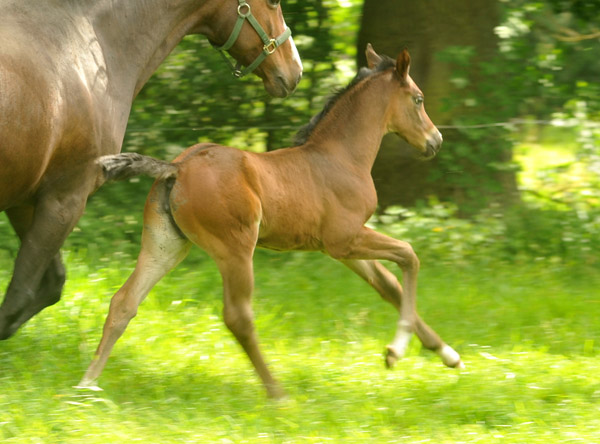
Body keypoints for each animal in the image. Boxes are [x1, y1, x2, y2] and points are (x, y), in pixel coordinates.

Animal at [0, 0, 300, 340]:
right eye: (274, 2)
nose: (295, 69)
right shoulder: (66, 198)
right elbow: (21, 296)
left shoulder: (27, 201)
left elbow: (47, 286)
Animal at [79, 45, 464, 398]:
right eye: (418, 99)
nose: (436, 140)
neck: (339, 157)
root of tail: (177, 168)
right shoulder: (346, 238)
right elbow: (409, 255)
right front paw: (395, 351)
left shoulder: (340, 249)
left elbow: (389, 286)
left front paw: (448, 354)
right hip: (235, 249)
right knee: (238, 316)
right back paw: (278, 393)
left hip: (165, 245)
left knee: (124, 302)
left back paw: (86, 385)